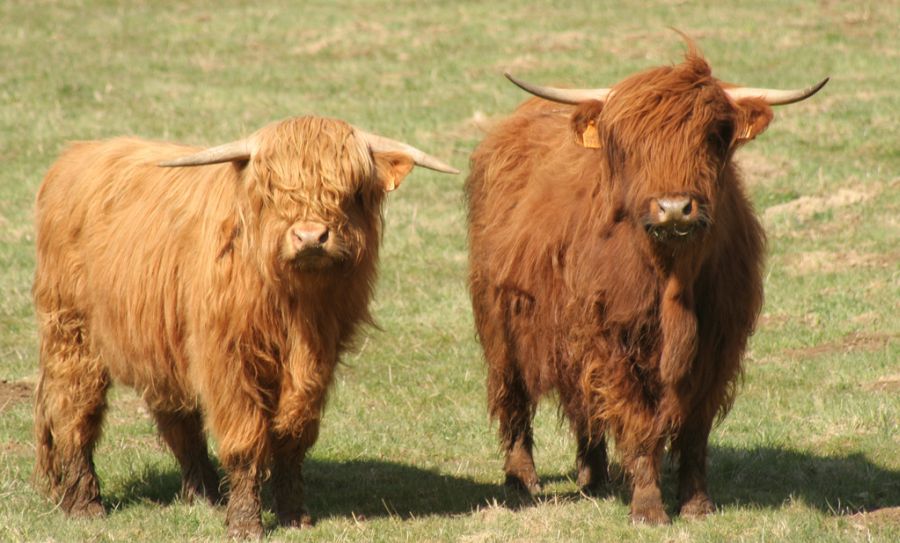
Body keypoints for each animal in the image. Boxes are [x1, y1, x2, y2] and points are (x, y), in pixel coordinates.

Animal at [33, 117, 458, 536]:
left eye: (350, 190)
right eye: (273, 190)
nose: (310, 237)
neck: (295, 303)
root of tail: (76, 154)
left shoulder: (318, 360)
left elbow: (293, 435)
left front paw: (294, 513)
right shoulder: (228, 359)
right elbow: (244, 440)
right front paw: (244, 523)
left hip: (160, 340)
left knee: (176, 416)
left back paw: (203, 494)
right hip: (72, 332)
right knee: (73, 409)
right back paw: (84, 503)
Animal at [468, 40, 828, 524]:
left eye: (713, 136)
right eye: (631, 143)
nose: (675, 208)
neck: (673, 278)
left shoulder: (717, 344)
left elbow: (694, 429)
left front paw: (696, 504)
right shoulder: (614, 341)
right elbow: (638, 422)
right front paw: (648, 507)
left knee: (584, 405)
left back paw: (594, 477)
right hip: (502, 328)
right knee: (515, 400)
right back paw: (521, 480)